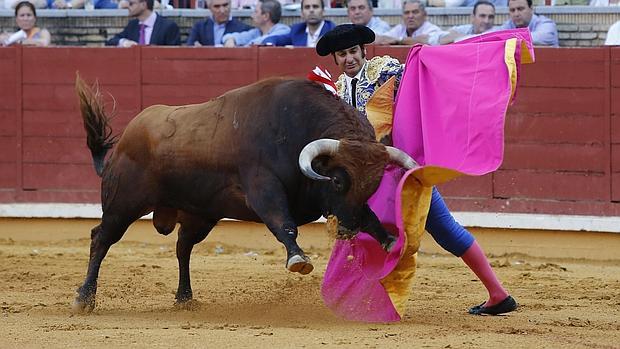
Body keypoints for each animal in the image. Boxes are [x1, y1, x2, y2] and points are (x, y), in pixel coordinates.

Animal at [72, 75, 414, 312]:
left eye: (374, 184)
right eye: (339, 181)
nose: (347, 230)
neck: (297, 129)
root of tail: (120, 146)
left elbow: (371, 218)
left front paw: (390, 241)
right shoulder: (263, 188)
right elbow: (283, 223)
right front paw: (298, 259)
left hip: (200, 214)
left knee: (183, 247)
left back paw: (185, 297)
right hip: (123, 203)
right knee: (101, 238)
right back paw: (84, 298)